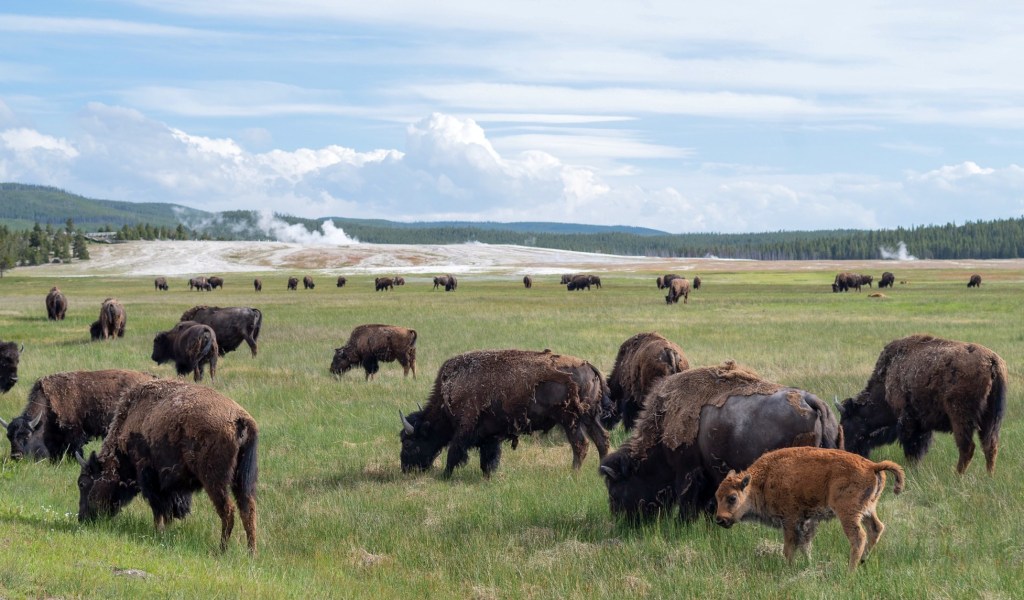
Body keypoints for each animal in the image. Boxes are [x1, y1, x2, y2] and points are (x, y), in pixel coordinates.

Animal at [76, 379, 258, 554]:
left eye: (83, 484)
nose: (82, 518)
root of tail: (239, 419)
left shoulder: (150, 479)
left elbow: (158, 508)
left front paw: (159, 532)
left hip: (214, 481)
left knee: (228, 510)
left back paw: (222, 550)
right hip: (242, 480)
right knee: (247, 510)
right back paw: (251, 553)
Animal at [399, 349, 612, 477]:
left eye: (408, 443)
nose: (405, 468)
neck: (451, 391)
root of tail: (589, 366)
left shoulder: (464, 428)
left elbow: (454, 453)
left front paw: (445, 475)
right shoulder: (490, 434)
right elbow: (488, 457)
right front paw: (488, 475)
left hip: (570, 420)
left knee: (580, 445)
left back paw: (573, 473)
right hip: (589, 417)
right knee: (602, 439)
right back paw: (602, 470)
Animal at [838, 334, 1007, 474]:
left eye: (847, 423)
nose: (848, 451)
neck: (886, 381)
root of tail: (992, 361)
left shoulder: (908, 421)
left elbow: (912, 447)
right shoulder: (923, 425)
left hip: (961, 417)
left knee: (967, 447)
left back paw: (957, 476)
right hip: (991, 419)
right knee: (990, 446)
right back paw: (989, 476)